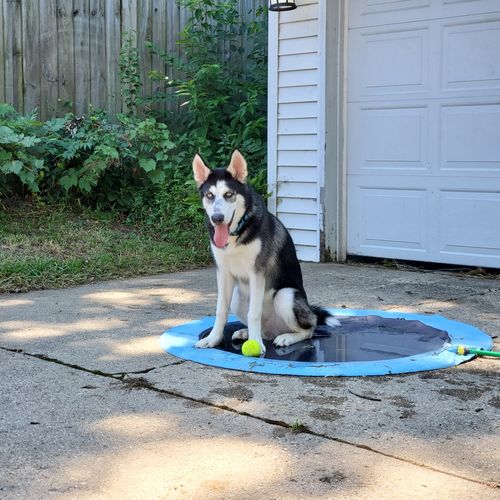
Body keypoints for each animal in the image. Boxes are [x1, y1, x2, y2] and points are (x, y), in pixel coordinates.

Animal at [192, 150, 340, 354]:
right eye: (209, 195)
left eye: (229, 194)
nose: (217, 218)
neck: (238, 232)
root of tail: (273, 330)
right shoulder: (223, 273)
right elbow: (221, 310)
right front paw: (214, 339)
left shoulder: (257, 273)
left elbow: (253, 312)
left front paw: (255, 344)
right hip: (237, 297)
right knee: (263, 327)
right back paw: (247, 333)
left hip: (286, 296)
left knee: (309, 330)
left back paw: (285, 337)